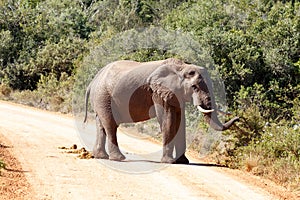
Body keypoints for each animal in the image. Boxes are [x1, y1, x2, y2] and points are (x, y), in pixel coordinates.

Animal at [83, 57, 238, 164]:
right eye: (194, 87)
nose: (238, 118)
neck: (181, 67)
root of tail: (92, 81)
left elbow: (180, 122)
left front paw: (183, 162)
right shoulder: (158, 92)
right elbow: (167, 120)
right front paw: (169, 162)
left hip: (100, 98)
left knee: (101, 124)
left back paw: (101, 156)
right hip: (104, 96)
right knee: (110, 124)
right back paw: (118, 158)